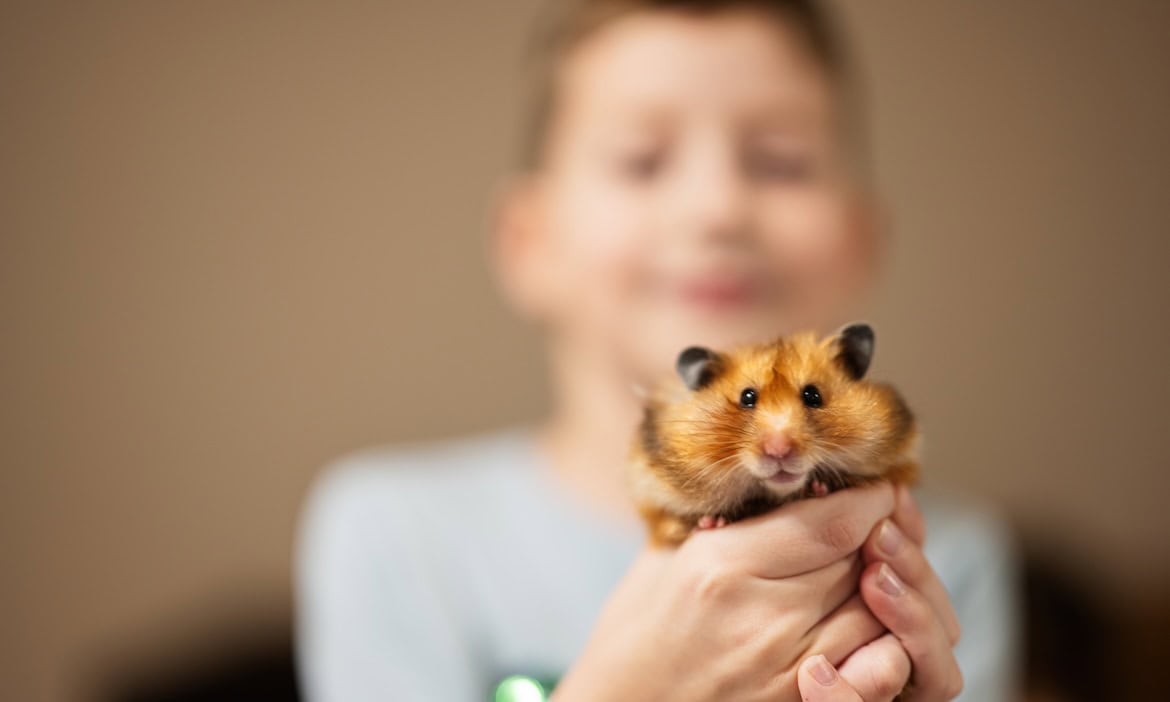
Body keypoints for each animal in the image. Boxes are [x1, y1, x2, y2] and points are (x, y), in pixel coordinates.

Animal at [629, 323, 919, 547]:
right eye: (747, 397)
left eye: (813, 395)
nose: (779, 451)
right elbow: (670, 523)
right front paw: (710, 522)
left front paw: (821, 486)